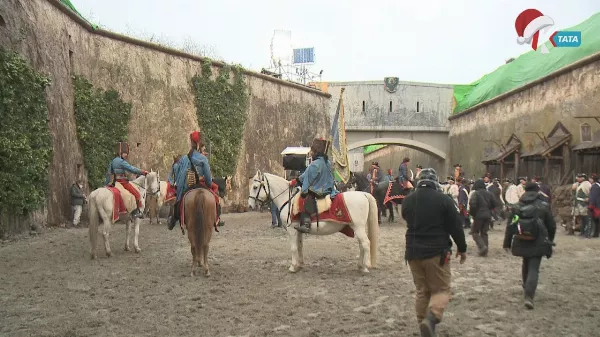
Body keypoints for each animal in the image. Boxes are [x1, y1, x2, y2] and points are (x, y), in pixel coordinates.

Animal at [248, 171, 380, 272]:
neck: (288, 199)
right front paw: (300, 264)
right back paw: (360, 265)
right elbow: (299, 246)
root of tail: (363, 194)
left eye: (255, 187)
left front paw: (293, 267)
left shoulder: (291, 230)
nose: (249, 205)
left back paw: (365, 267)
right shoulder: (298, 230)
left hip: (358, 227)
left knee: (366, 244)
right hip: (357, 228)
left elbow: (293, 248)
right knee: (362, 245)